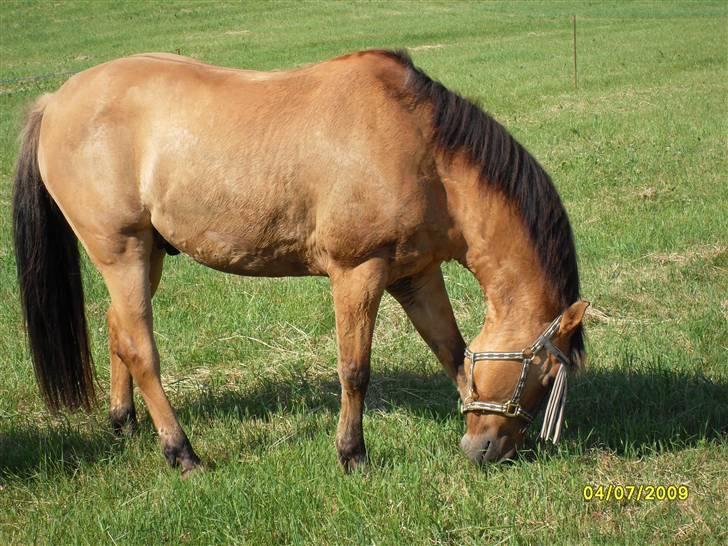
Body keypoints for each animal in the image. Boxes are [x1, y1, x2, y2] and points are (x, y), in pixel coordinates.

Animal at [14, 50, 588, 472]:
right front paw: (352, 455)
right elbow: (354, 370)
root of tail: (56, 100)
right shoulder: (358, 273)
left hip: (148, 254)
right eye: (541, 374)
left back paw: (125, 423)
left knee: (118, 328)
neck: (423, 150)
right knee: (141, 349)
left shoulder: (415, 274)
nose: (489, 450)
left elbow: (452, 349)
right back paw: (182, 452)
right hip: (122, 253)